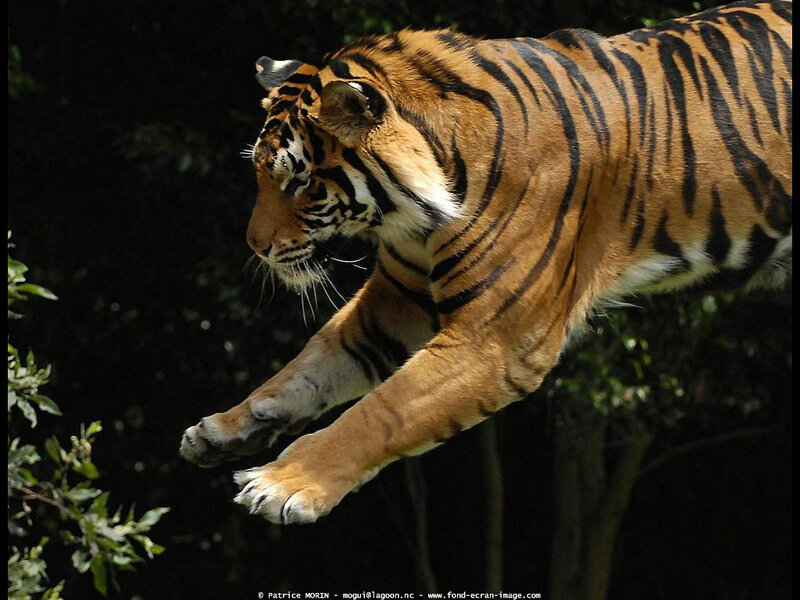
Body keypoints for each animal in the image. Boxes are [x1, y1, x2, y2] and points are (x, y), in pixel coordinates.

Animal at [180, 0, 792, 524]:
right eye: (260, 173)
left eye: (300, 182)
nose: (254, 246)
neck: (418, 210)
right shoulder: (396, 301)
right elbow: (306, 367)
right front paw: (223, 429)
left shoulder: (497, 340)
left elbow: (381, 412)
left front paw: (282, 482)